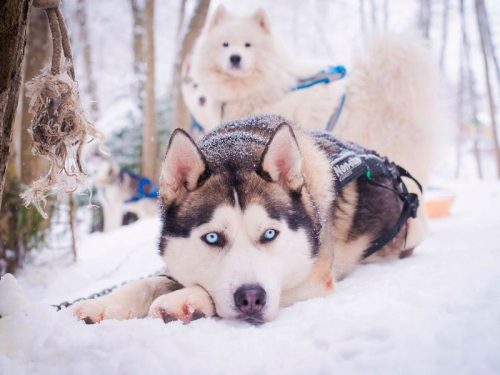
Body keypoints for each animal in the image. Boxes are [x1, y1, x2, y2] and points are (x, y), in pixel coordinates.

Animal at [72, 116, 424, 324]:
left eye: (269, 234)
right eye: (212, 238)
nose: (251, 298)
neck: (237, 147)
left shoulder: (313, 281)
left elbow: (209, 294)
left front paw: (187, 298)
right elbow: (148, 281)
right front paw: (106, 304)